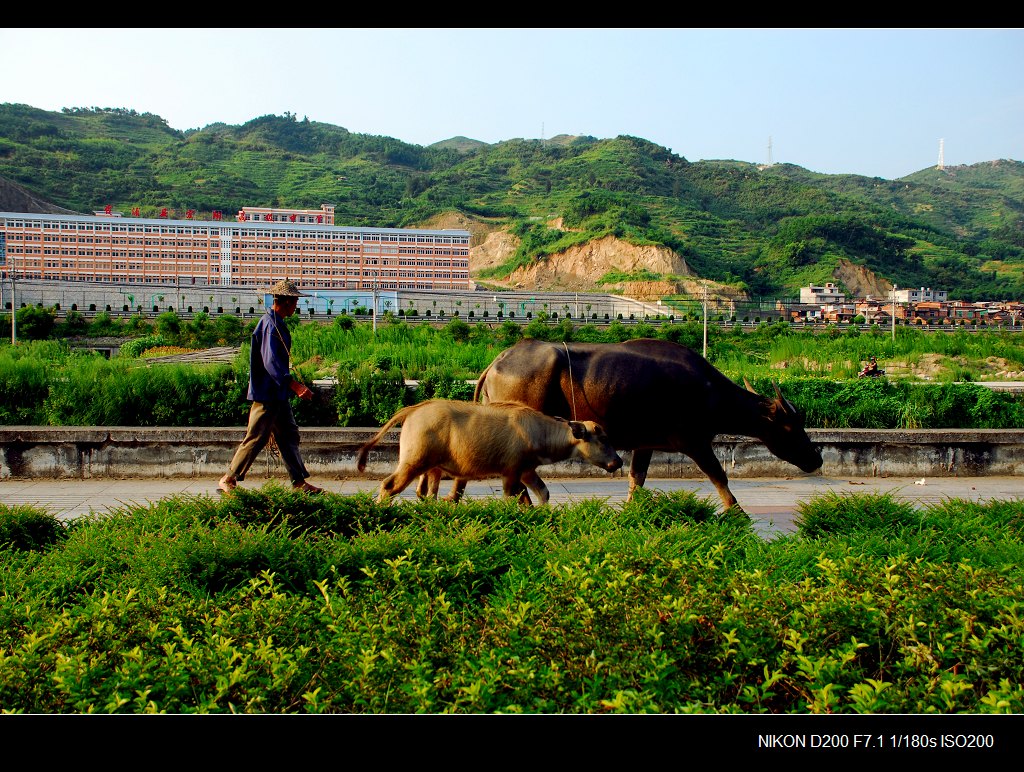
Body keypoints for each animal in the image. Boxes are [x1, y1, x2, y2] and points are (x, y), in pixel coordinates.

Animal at [473, 337, 823, 511]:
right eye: (791, 426)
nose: (816, 458)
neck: (708, 390)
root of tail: (496, 362)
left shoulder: (645, 445)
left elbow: (636, 480)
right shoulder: (695, 442)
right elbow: (719, 476)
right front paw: (737, 512)